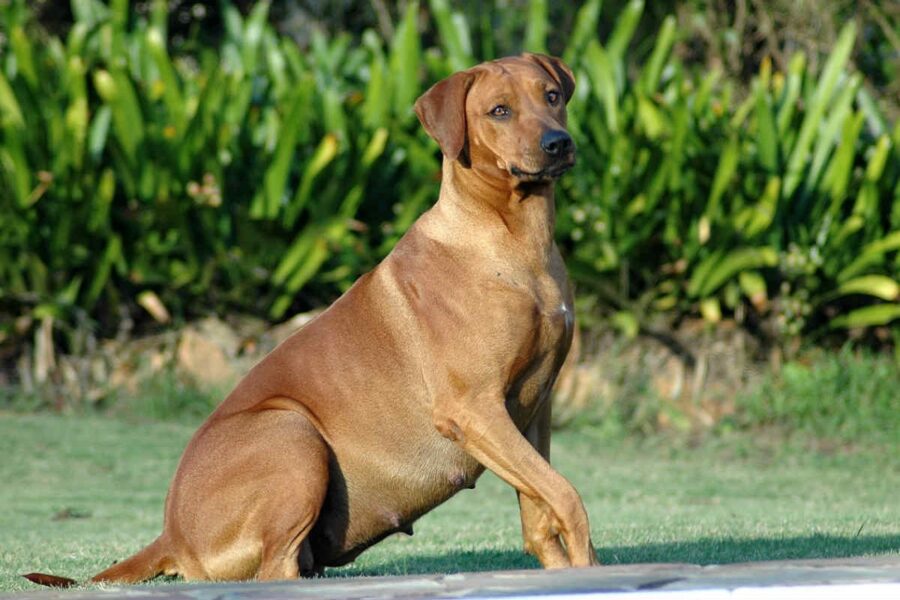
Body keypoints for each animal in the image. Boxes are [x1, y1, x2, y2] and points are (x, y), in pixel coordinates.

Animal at [24, 54, 596, 588]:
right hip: (292, 433)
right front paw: (587, 566)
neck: (511, 237)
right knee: (275, 570)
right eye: (499, 111)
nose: (559, 143)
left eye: (551, 96)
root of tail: (171, 534)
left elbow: (540, 510)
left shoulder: (532, 406)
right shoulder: (473, 408)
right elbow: (566, 495)